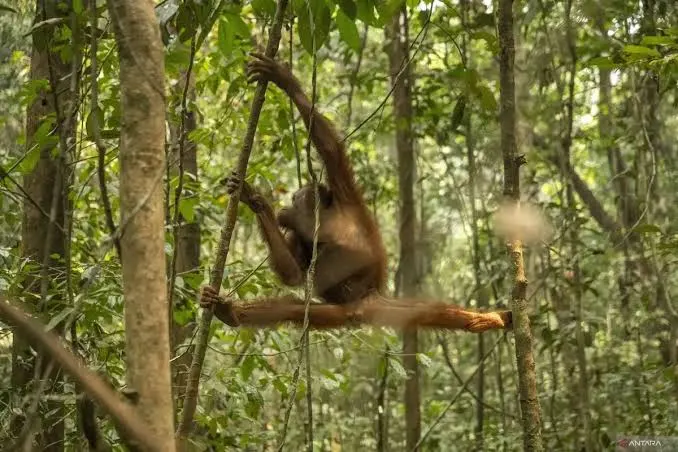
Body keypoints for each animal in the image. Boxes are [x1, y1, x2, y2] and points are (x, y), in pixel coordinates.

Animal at [200, 53, 512, 333]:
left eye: (295, 199)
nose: (285, 207)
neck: (325, 220)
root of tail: (365, 308)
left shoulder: (345, 194)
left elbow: (331, 149)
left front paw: (283, 79)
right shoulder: (301, 237)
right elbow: (293, 273)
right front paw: (254, 200)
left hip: (382, 305)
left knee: (435, 311)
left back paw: (487, 319)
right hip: (338, 312)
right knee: (293, 309)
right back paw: (229, 311)